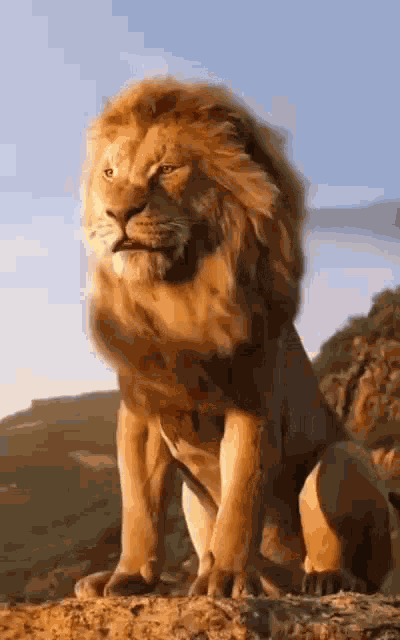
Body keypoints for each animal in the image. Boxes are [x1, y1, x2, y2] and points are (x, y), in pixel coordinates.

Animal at [75, 76, 393, 599]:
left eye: (167, 169)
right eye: (109, 172)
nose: (117, 212)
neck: (175, 298)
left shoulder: (252, 404)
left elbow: (241, 500)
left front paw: (224, 579)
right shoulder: (141, 413)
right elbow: (139, 507)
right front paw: (130, 577)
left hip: (345, 459)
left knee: (344, 555)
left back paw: (323, 579)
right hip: (193, 498)